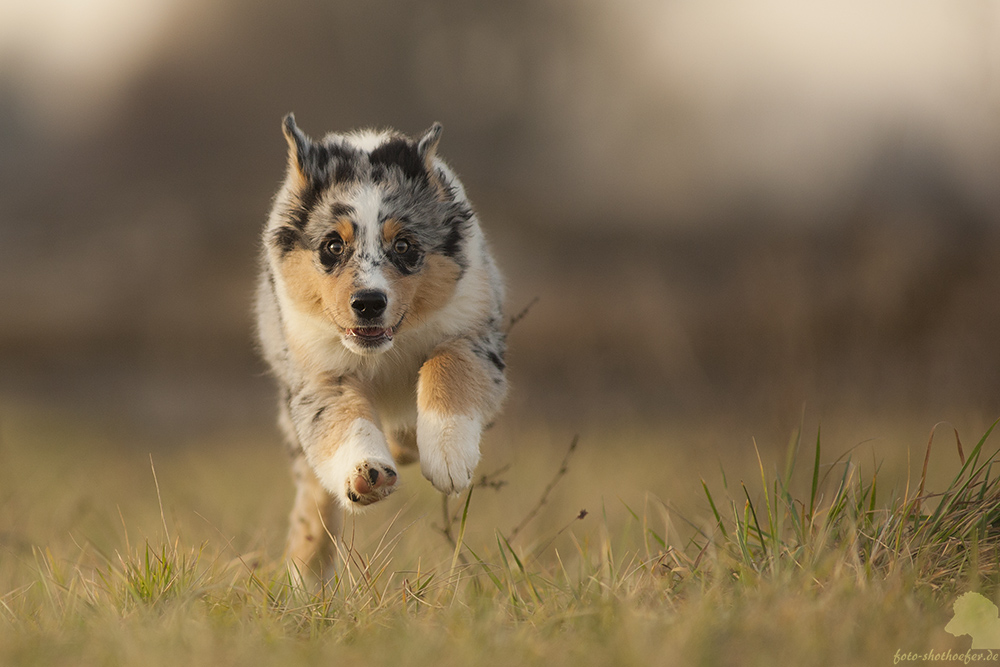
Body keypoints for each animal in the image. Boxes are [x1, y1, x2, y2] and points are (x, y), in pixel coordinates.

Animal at [256, 115, 508, 580]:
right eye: (332, 246)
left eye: (404, 245)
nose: (369, 303)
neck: (383, 352)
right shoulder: (317, 370)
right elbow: (343, 420)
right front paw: (365, 473)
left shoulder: (474, 332)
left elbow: (448, 365)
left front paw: (448, 457)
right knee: (312, 490)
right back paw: (307, 566)